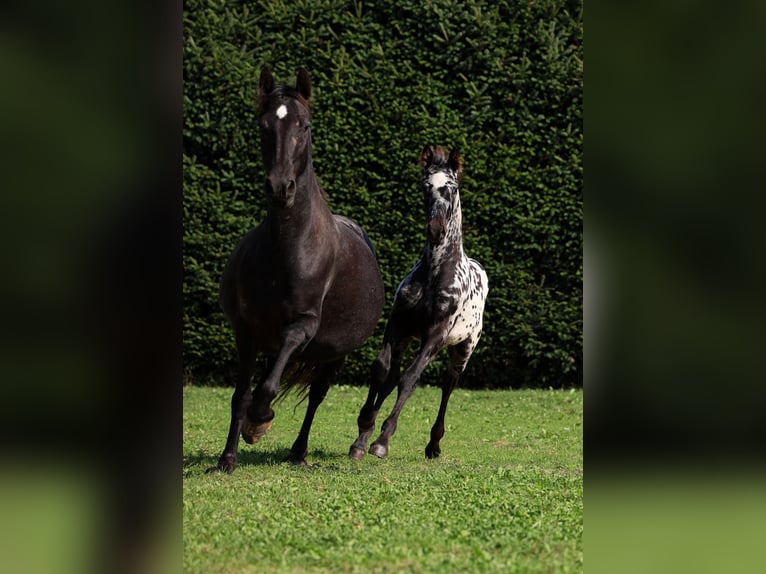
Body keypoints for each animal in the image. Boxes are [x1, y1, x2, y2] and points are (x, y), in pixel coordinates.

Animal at [209, 68, 385, 472]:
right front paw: (228, 459)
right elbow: (241, 394)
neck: (288, 250)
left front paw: (259, 423)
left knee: (316, 396)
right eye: (263, 126)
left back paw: (298, 451)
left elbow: (268, 386)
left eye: (304, 126)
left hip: (334, 352)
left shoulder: (302, 326)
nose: (280, 187)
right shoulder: (246, 331)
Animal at [349, 145, 489, 461]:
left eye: (452, 187)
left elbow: (410, 379)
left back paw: (433, 445)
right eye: (425, 186)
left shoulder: (435, 335)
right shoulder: (397, 324)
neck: (435, 274)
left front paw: (382, 441)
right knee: (391, 377)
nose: (436, 230)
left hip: (462, 349)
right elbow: (381, 370)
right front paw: (362, 435)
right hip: (407, 339)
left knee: (448, 386)